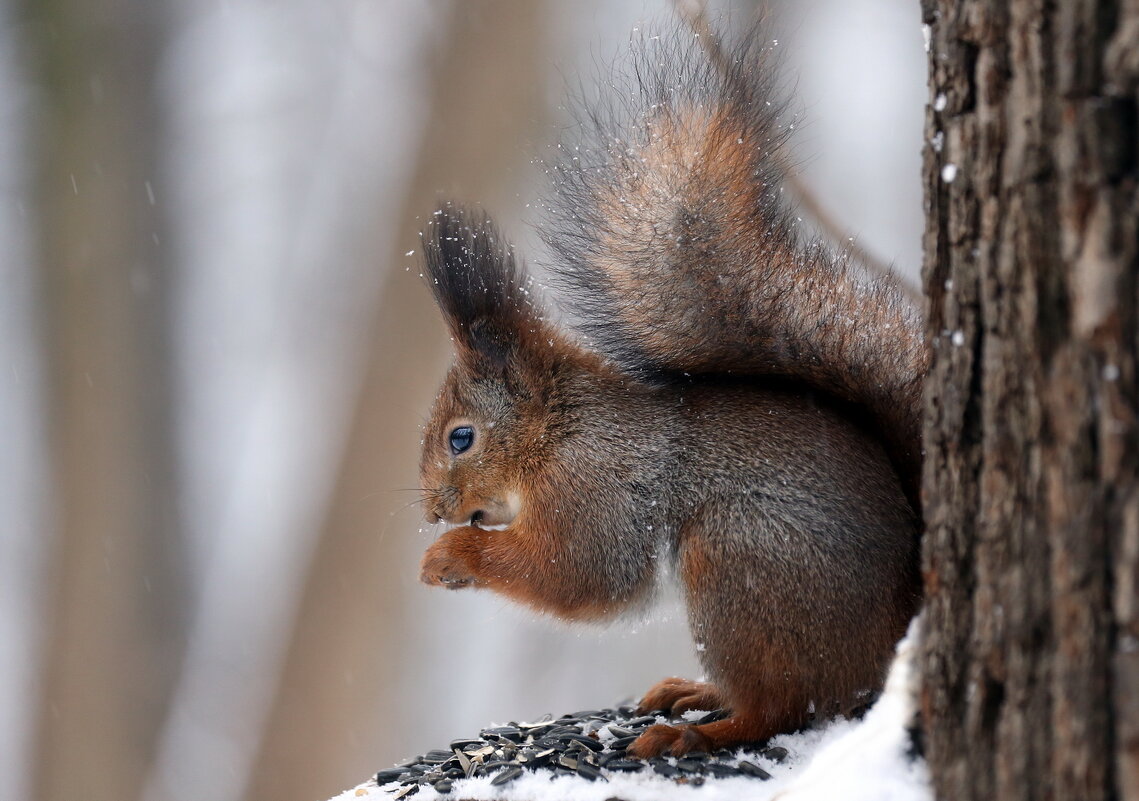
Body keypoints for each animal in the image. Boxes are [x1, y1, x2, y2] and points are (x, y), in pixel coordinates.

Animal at [414, 28, 920, 761]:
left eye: (462, 437)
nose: (433, 511)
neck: (560, 431)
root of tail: (897, 629)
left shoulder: (596, 490)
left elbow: (581, 573)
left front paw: (451, 556)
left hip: (739, 559)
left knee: (783, 706)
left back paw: (693, 732)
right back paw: (693, 692)